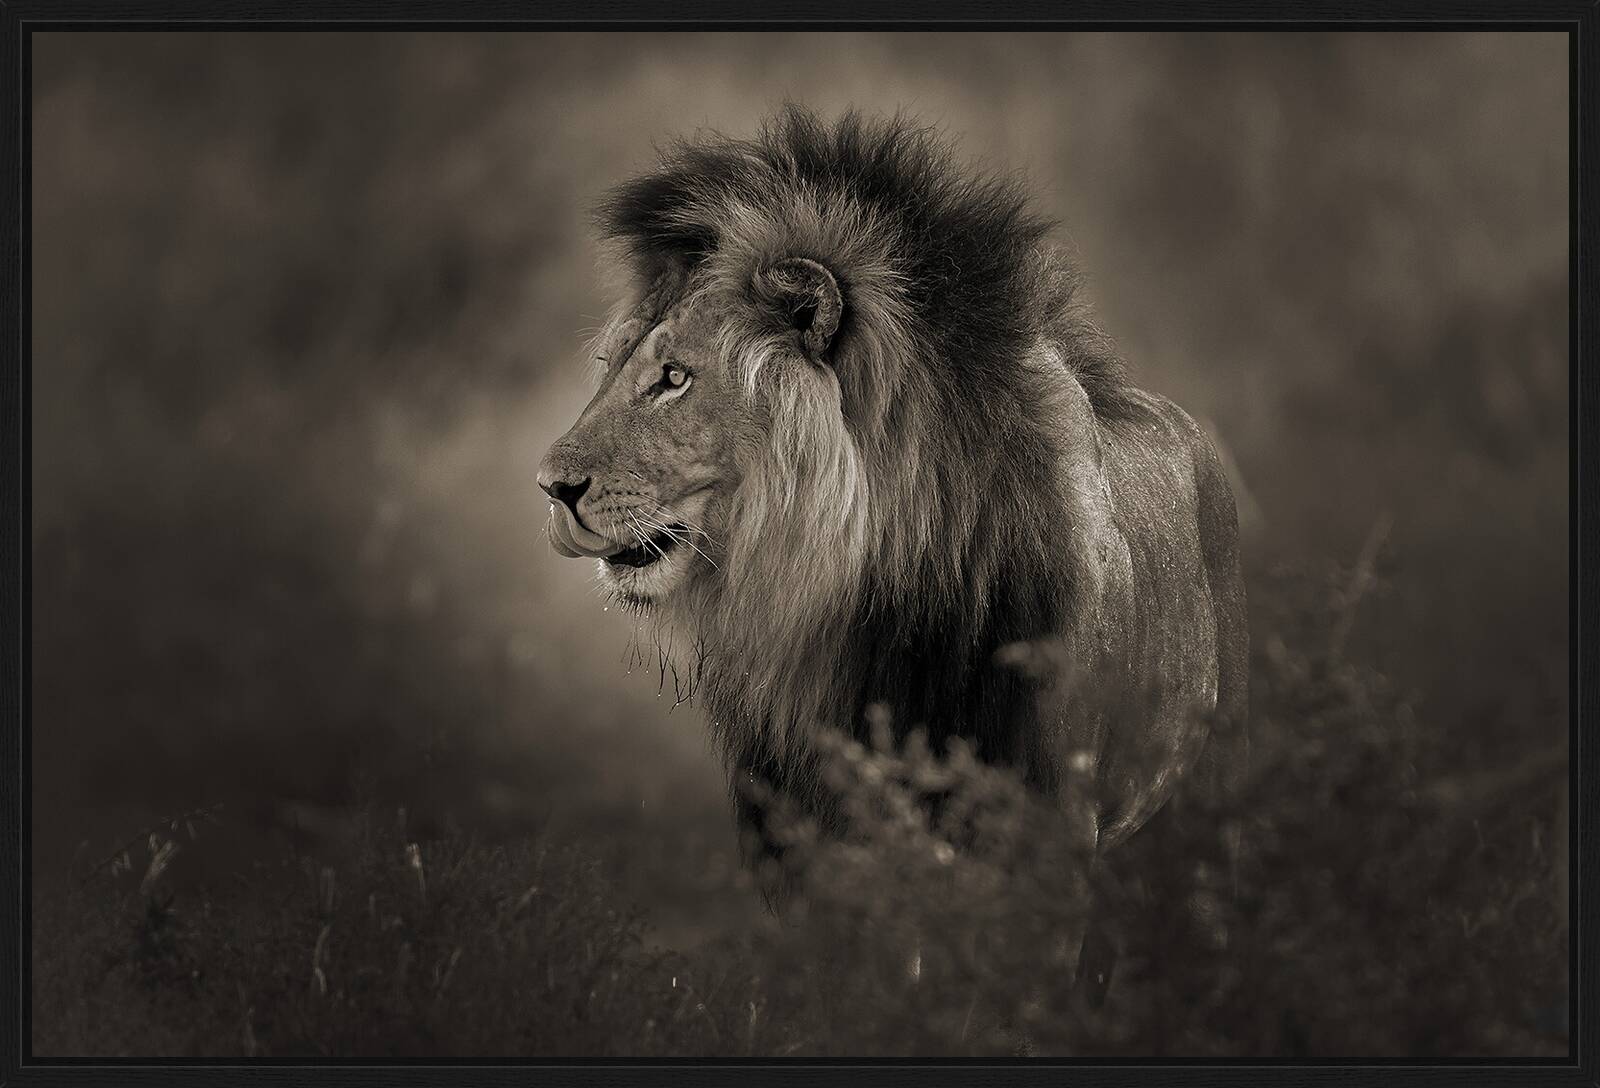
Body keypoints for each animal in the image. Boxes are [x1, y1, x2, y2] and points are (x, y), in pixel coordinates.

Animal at [538, 108, 1248, 999]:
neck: (874, 597)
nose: (550, 485)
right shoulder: (812, 838)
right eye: (615, 367)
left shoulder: (1042, 835)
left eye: (674, 376)